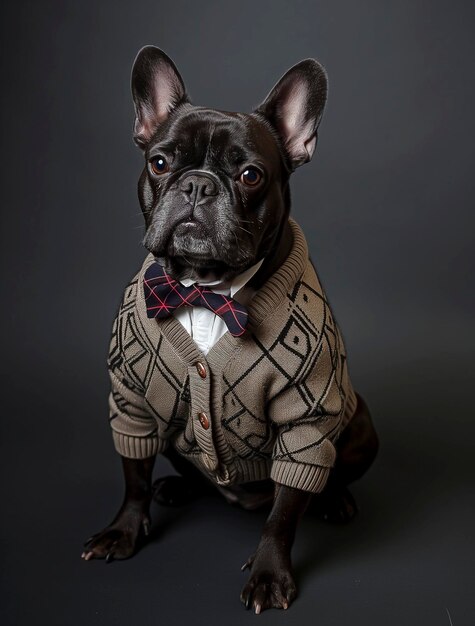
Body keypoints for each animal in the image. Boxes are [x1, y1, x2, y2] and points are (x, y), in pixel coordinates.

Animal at [82, 46, 380, 612]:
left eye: (249, 175)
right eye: (159, 162)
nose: (197, 184)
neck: (204, 290)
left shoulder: (305, 421)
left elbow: (284, 513)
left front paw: (269, 574)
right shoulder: (130, 400)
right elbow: (133, 473)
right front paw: (124, 530)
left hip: (358, 427)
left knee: (313, 482)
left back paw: (336, 500)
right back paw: (178, 489)